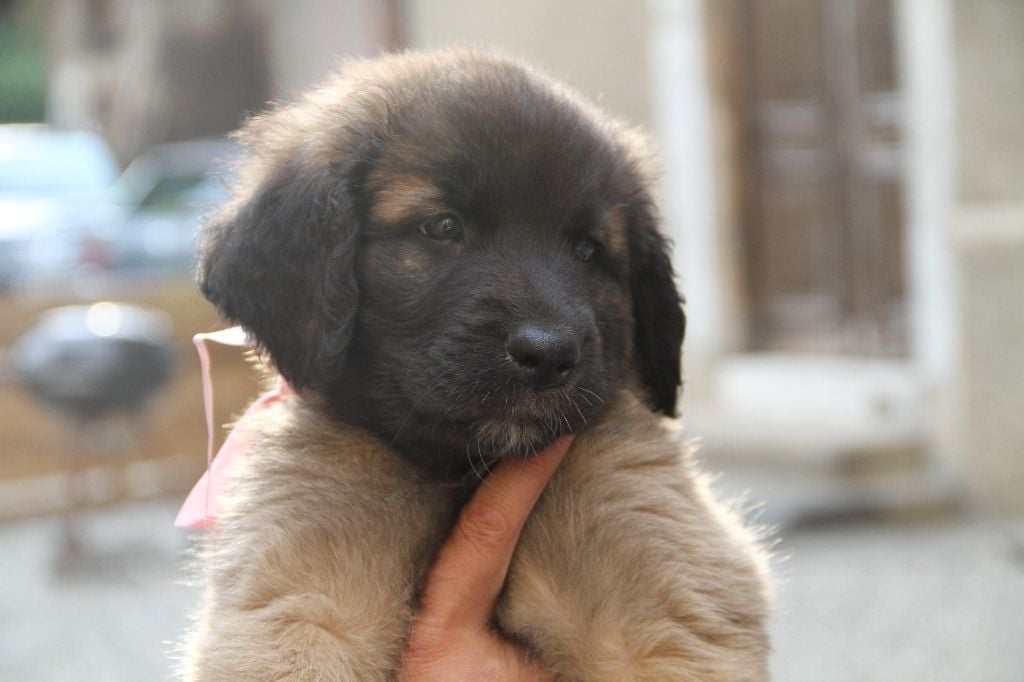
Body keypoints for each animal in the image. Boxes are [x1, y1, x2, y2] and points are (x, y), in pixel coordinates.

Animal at [182, 49, 771, 680]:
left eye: (589, 251)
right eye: (442, 227)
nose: (548, 353)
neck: (462, 472)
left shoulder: (660, 602)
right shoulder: (302, 600)